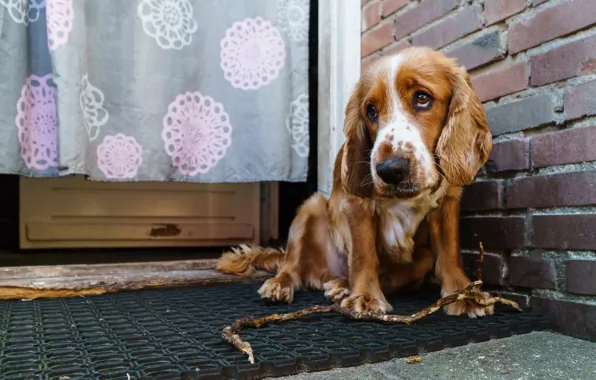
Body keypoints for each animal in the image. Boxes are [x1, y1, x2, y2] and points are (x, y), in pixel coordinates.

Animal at [217, 46, 492, 318]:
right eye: (371, 110)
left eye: (422, 98)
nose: (389, 170)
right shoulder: (357, 205)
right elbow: (363, 254)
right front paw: (366, 297)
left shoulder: (448, 202)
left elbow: (450, 252)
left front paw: (464, 294)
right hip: (310, 207)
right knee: (291, 265)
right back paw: (283, 284)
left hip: (422, 256)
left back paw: (341, 287)